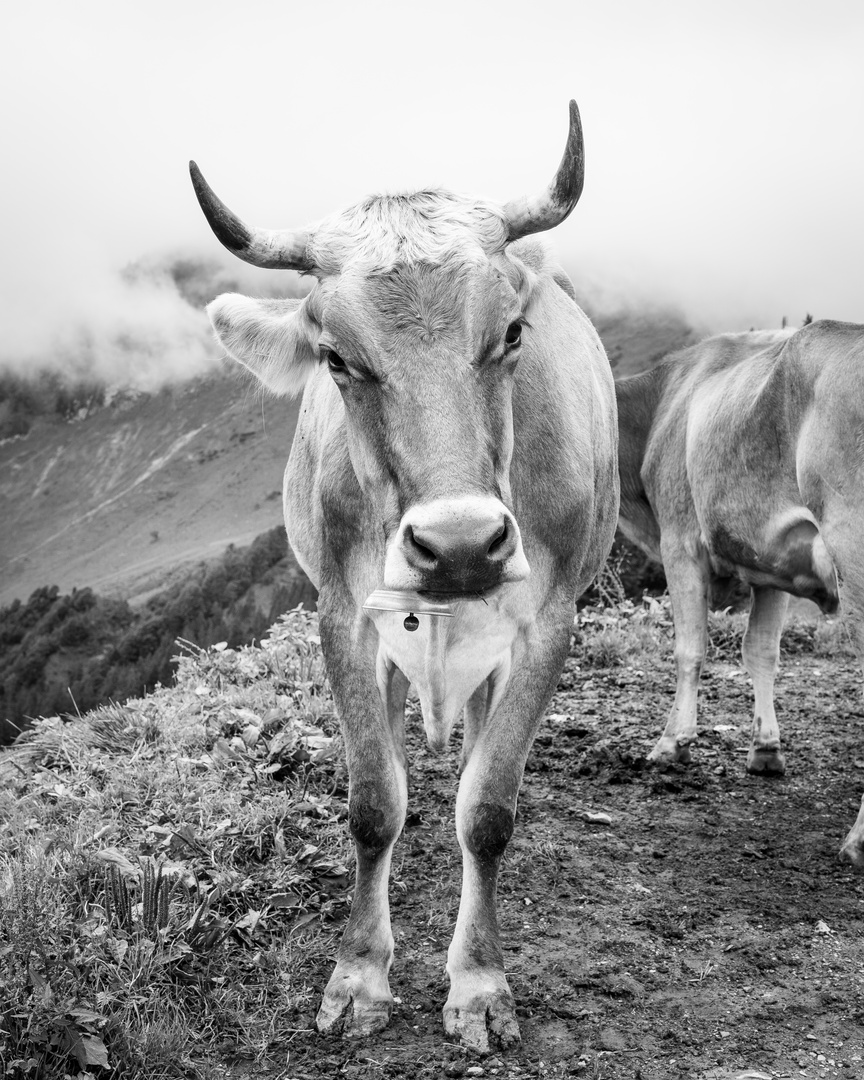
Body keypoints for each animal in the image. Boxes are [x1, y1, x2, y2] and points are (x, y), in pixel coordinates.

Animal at [191, 103, 622, 1054]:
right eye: (335, 357)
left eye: (511, 333)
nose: (459, 545)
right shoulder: (343, 615)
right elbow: (372, 803)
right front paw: (358, 976)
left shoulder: (548, 619)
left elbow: (488, 808)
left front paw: (479, 983)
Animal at [613, 324, 864, 864]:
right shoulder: (774, 566)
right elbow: (761, 652)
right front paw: (765, 749)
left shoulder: (680, 541)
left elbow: (689, 649)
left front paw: (672, 743)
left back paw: (858, 841)